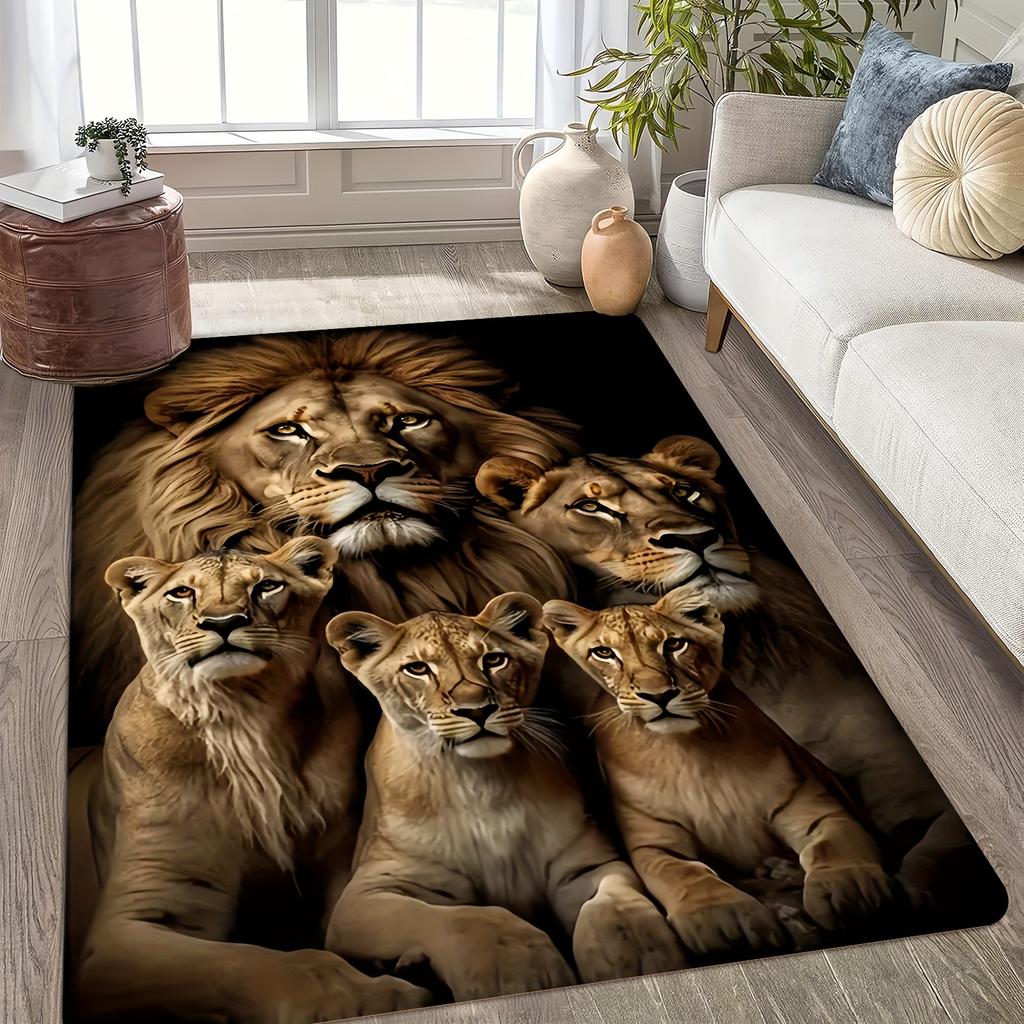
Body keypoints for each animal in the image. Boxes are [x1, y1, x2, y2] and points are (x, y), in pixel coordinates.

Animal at [68, 538, 430, 1023]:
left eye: (266, 586)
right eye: (181, 592)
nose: (224, 622)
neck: (244, 719)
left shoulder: (343, 866)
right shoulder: (131, 926)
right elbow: (272, 962)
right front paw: (366, 997)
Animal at [323, 592, 686, 1002]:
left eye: (494, 660)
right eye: (416, 668)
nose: (478, 710)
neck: (481, 781)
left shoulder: (586, 862)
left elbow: (612, 905)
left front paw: (639, 954)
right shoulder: (365, 896)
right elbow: (469, 917)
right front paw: (520, 969)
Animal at [542, 586, 897, 957]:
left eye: (674, 644)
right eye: (604, 653)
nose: (659, 696)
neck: (689, 751)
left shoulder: (811, 805)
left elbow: (833, 843)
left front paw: (850, 891)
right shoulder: (653, 842)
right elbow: (684, 873)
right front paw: (726, 918)